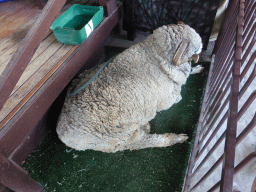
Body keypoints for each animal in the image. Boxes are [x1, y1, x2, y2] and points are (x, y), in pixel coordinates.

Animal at [56, 21, 202, 153]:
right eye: (195, 49)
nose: (201, 47)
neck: (155, 55)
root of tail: (61, 132)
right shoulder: (165, 100)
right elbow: (177, 96)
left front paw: (197, 69)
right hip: (120, 138)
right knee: (146, 142)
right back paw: (176, 138)